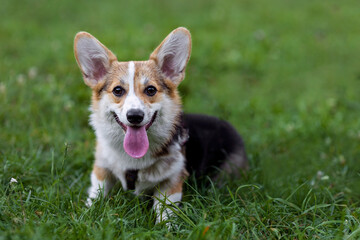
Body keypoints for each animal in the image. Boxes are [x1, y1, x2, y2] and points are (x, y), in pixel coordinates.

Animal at [73, 27, 248, 224]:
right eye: (118, 90)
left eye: (151, 90)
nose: (135, 116)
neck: (133, 159)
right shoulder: (101, 169)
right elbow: (95, 195)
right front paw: (86, 214)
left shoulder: (172, 182)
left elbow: (165, 211)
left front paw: (165, 226)